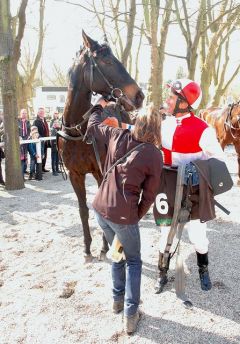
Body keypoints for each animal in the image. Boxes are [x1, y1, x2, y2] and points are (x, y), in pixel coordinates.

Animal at [57, 32, 144, 260]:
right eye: (106, 60)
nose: (139, 95)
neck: (79, 131)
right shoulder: (75, 174)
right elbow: (83, 210)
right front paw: (87, 247)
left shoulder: (99, 171)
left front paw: (105, 246)